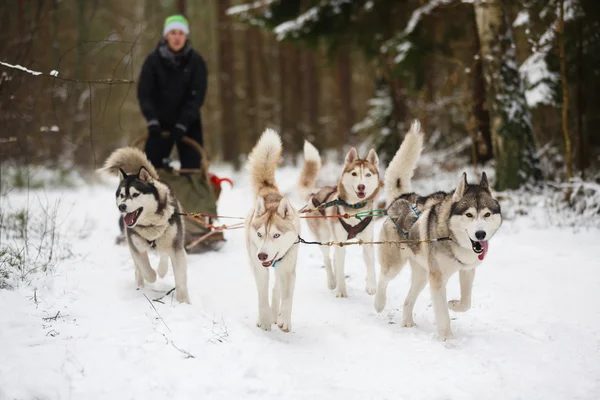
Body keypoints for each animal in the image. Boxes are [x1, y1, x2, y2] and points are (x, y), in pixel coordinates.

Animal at [98, 147, 190, 304]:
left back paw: (162, 270)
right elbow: (145, 269)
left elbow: (180, 279)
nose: (122, 207)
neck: (150, 225)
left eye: (136, 194)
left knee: (163, 254)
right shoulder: (136, 247)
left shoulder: (177, 248)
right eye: (122, 195)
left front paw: (183, 301)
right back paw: (141, 284)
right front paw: (151, 276)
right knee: (139, 268)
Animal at [244, 129, 300, 332]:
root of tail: (269, 191)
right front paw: (265, 318)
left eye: (276, 235)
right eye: (260, 234)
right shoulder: (260, 269)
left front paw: (285, 319)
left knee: (277, 288)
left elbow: (288, 296)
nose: (262, 256)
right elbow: (262, 294)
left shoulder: (289, 270)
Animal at [298, 141, 382, 296]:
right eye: (354, 173)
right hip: (324, 238)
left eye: (368, 174)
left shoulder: (367, 240)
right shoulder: (340, 242)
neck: (355, 209)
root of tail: (315, 193)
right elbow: (340, 267)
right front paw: (341, 292)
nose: (361, 186)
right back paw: (332, 281)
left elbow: (370, 264)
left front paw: (371, 286)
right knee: (328, 258)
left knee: (335, 259)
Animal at [376, 120, 502, 340]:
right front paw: (447, 338)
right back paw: (378, 303)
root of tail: (402, 198)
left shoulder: (467, 270)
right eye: (469, 215)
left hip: (421, 275)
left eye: (486, 214)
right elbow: (442, 313)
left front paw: (454, 305)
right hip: (395, 266)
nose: (480, 234)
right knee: (382, 279)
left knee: (408, 300)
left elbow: (466, 302)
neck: (452, 238)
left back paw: (407, 322)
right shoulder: (437, 279)